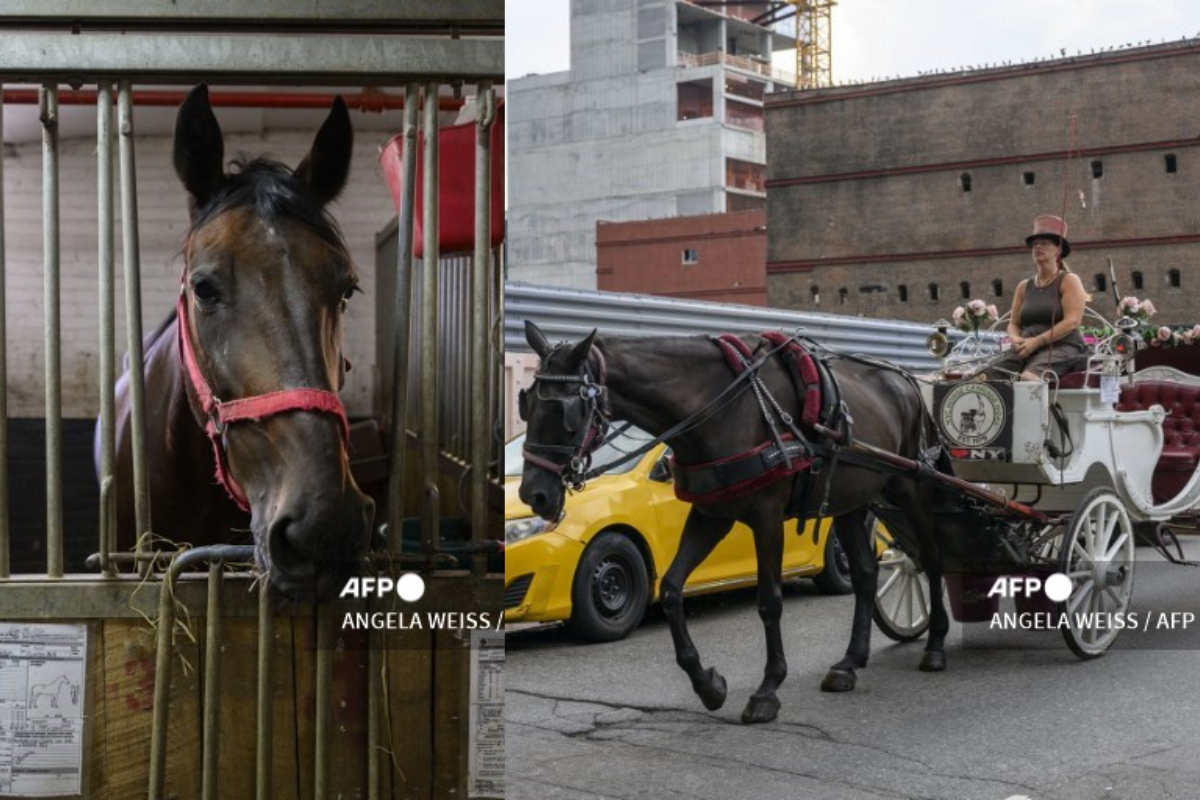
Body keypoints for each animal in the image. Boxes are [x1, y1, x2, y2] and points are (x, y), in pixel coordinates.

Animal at [520, 321, 950, 724]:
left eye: (563, 411)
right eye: (527, 405)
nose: (532, 494)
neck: (721, 407)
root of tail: (906, 381)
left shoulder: (767, 518)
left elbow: (769, 601)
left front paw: (768, 689)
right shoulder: (710, 515)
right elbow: (672, 589)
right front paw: (707, 684)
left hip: (911, 488)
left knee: (930, 558)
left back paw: (935, 645)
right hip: (851, 501)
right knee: (864, 574)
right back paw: (850, 663)